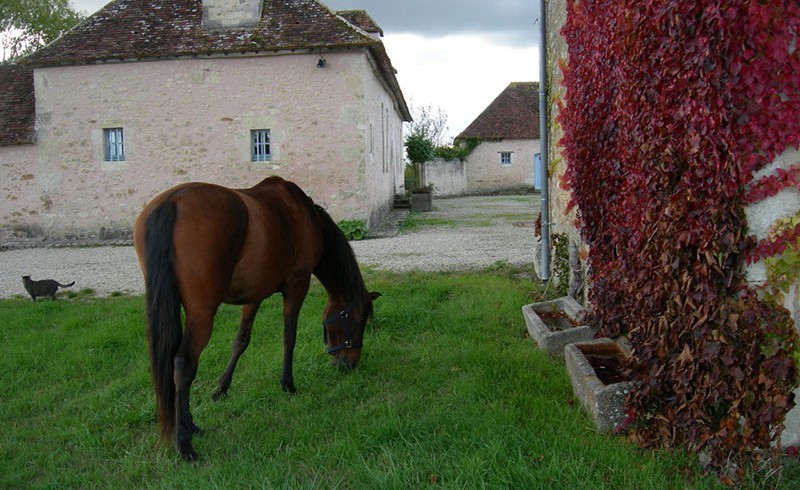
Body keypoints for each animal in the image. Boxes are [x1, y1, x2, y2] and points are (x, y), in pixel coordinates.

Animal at [133, 176, 380, 461]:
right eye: (359, 321)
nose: (350, 364)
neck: (304, 216)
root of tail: (173, 202)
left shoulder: (254, 295)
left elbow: (241, 340)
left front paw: (221, 389)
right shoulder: (297, 285)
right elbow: (289, 337)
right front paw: (288, 384)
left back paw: (188, 424)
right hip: (202, 313)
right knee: (184, 363)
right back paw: (185, 442)